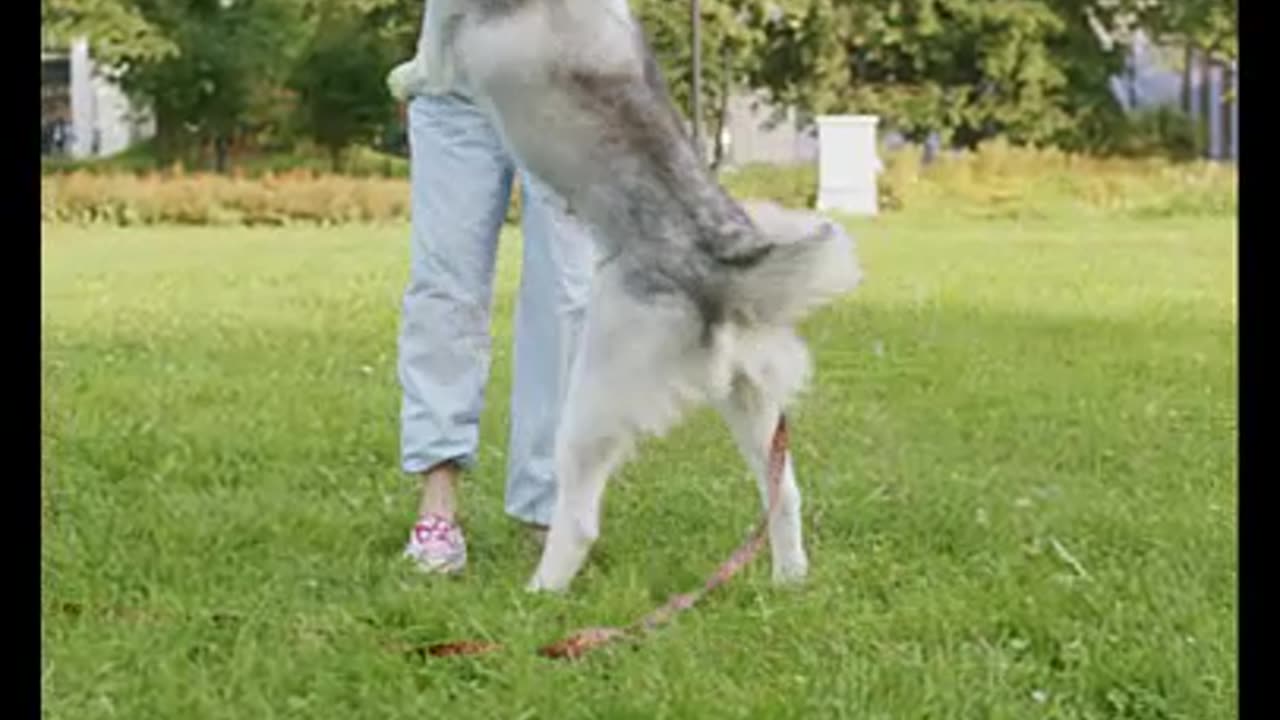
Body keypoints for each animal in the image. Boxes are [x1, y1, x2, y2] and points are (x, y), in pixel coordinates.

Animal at [399, 0, 860, 589]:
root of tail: (716, 266)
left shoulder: (451, 22)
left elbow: (432, 52)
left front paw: (408, 77)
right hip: (751, 401)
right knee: (785, 495)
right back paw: (789, 578)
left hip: (593, 397)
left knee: (579, 520)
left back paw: (539, 592)